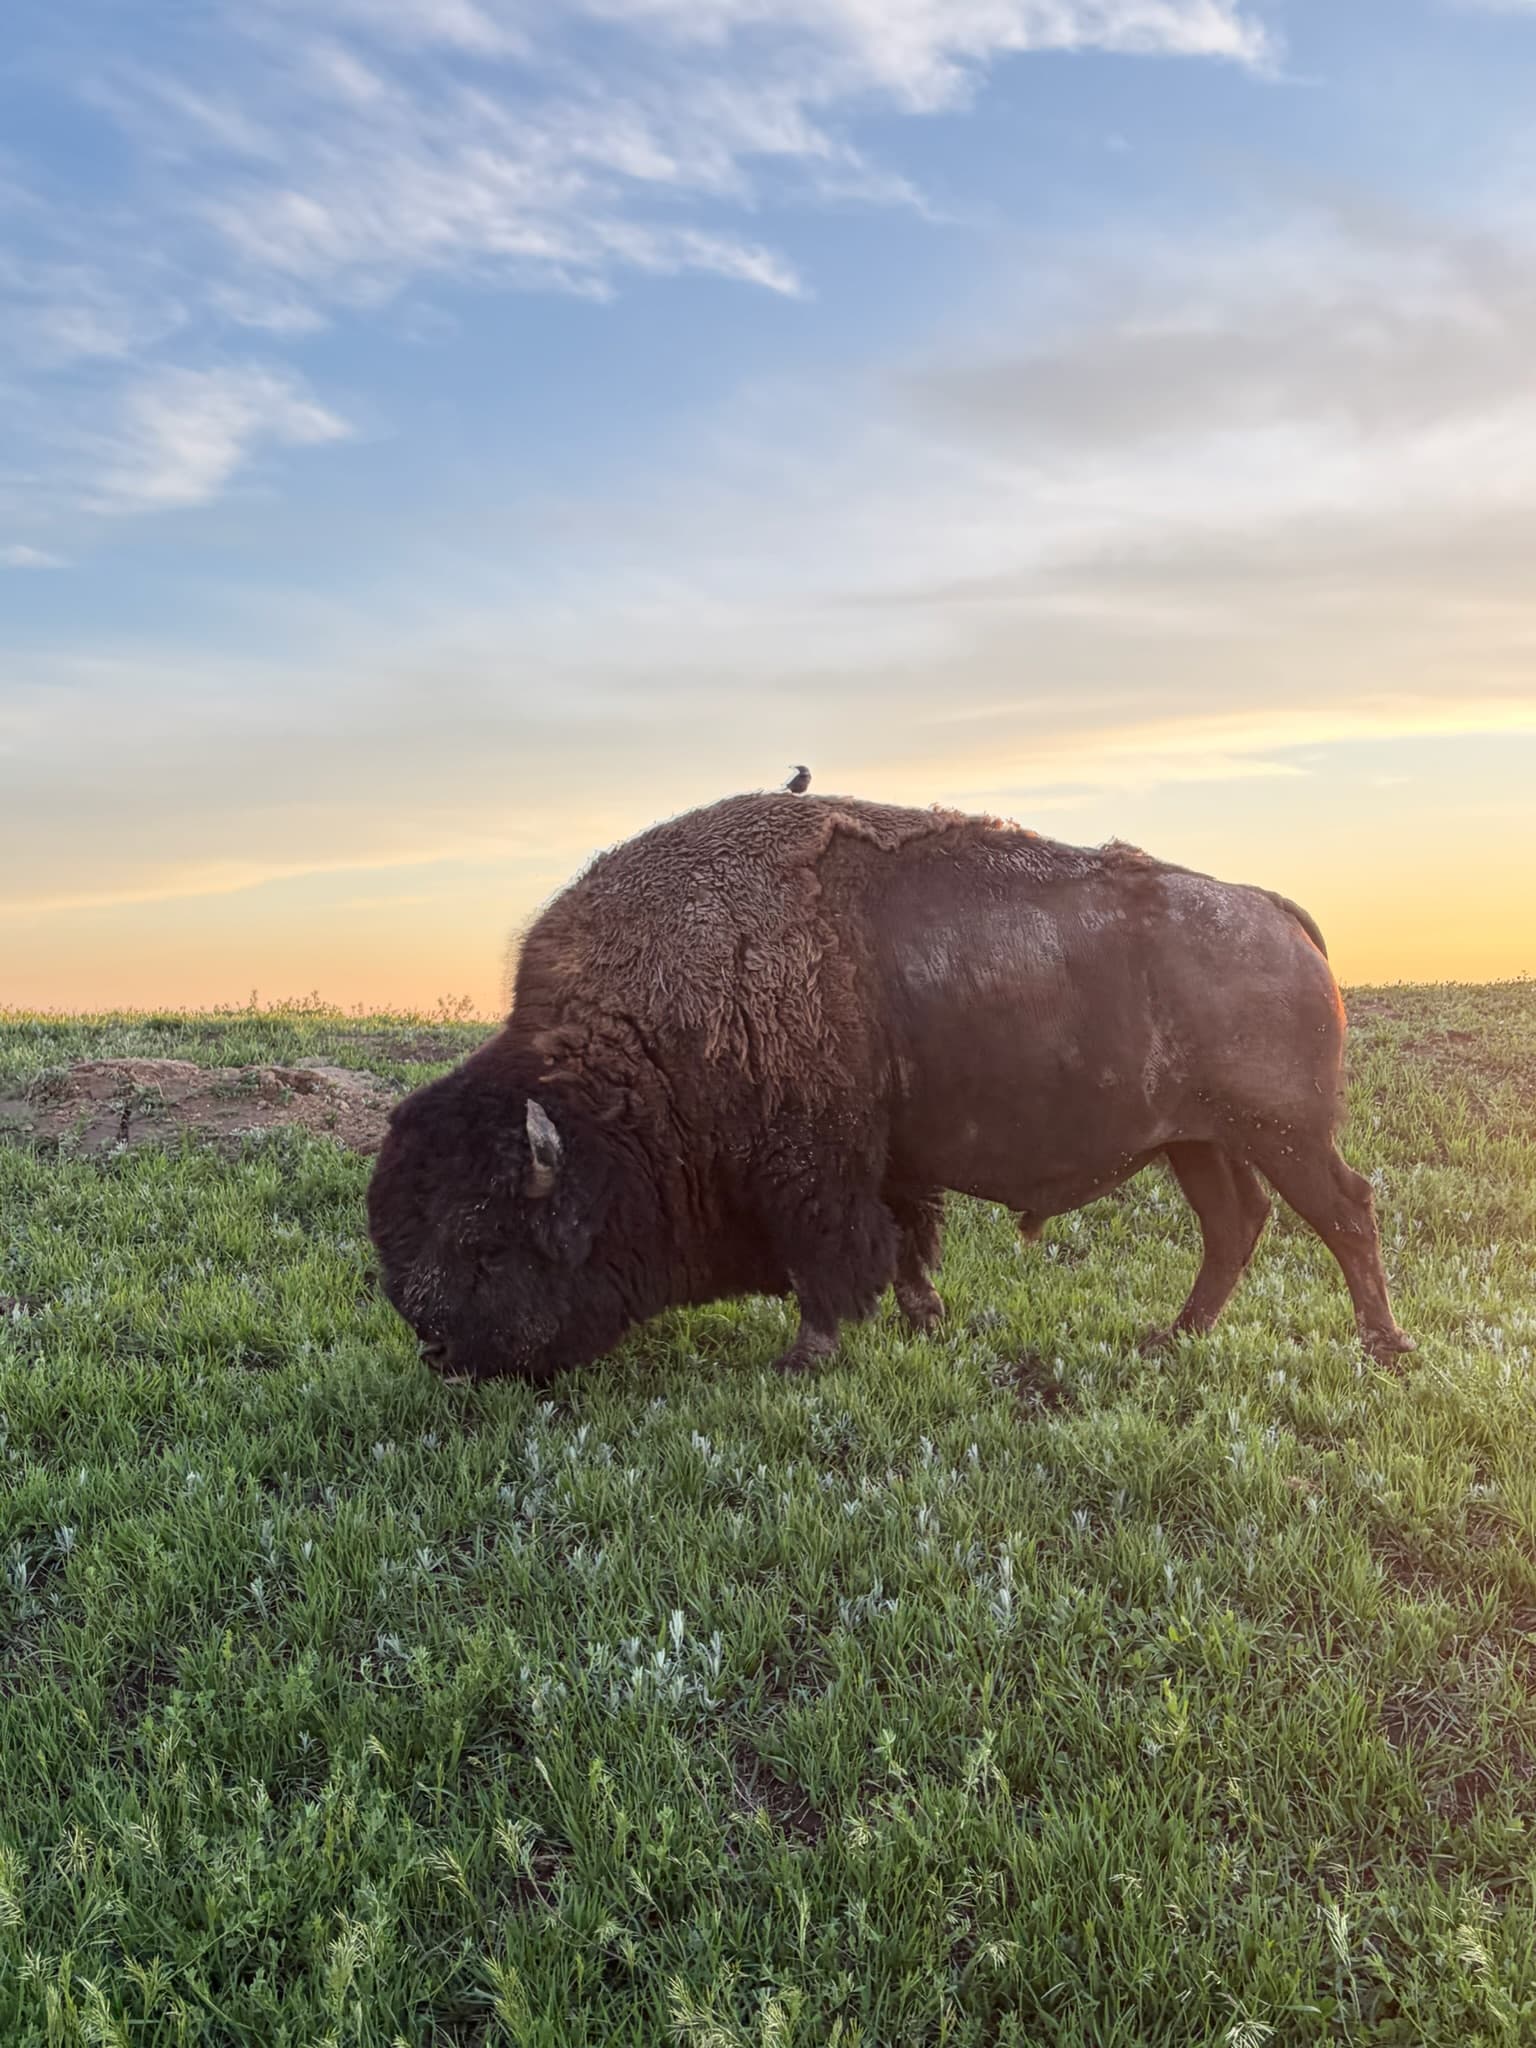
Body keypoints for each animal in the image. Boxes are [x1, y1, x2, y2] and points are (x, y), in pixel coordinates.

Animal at [367, 792, 1412, 1382]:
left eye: (486, 1244)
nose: (438, 1350)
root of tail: (1274, 911)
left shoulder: (808, 1174)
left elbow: (832, 1260)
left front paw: (805, 1358)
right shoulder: (887, 1167)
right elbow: (906, 1243)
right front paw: (925, 1321)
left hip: (1282, 1134)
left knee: (1344, 1211)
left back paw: (1383, 1349)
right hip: (1196, 1140)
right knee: (1236, 1225)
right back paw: (1174, 1340)